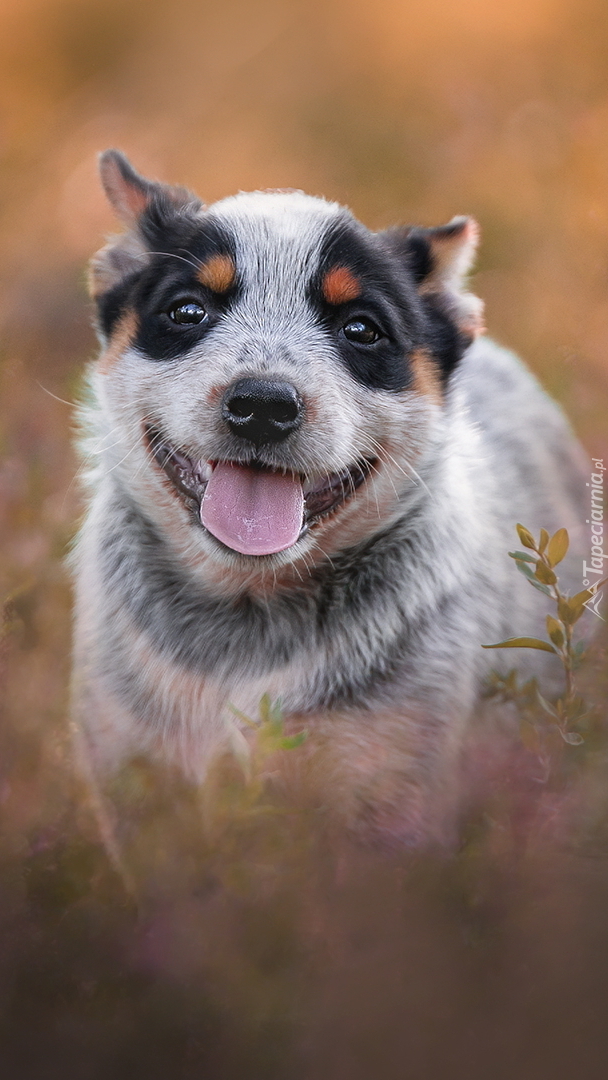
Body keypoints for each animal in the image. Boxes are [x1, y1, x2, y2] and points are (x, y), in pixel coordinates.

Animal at [71, 152, 591, 842]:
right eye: (187, 311)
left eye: (361, 328)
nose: (263, 404)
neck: (245, 627)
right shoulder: (132, 769)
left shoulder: (387, 785)